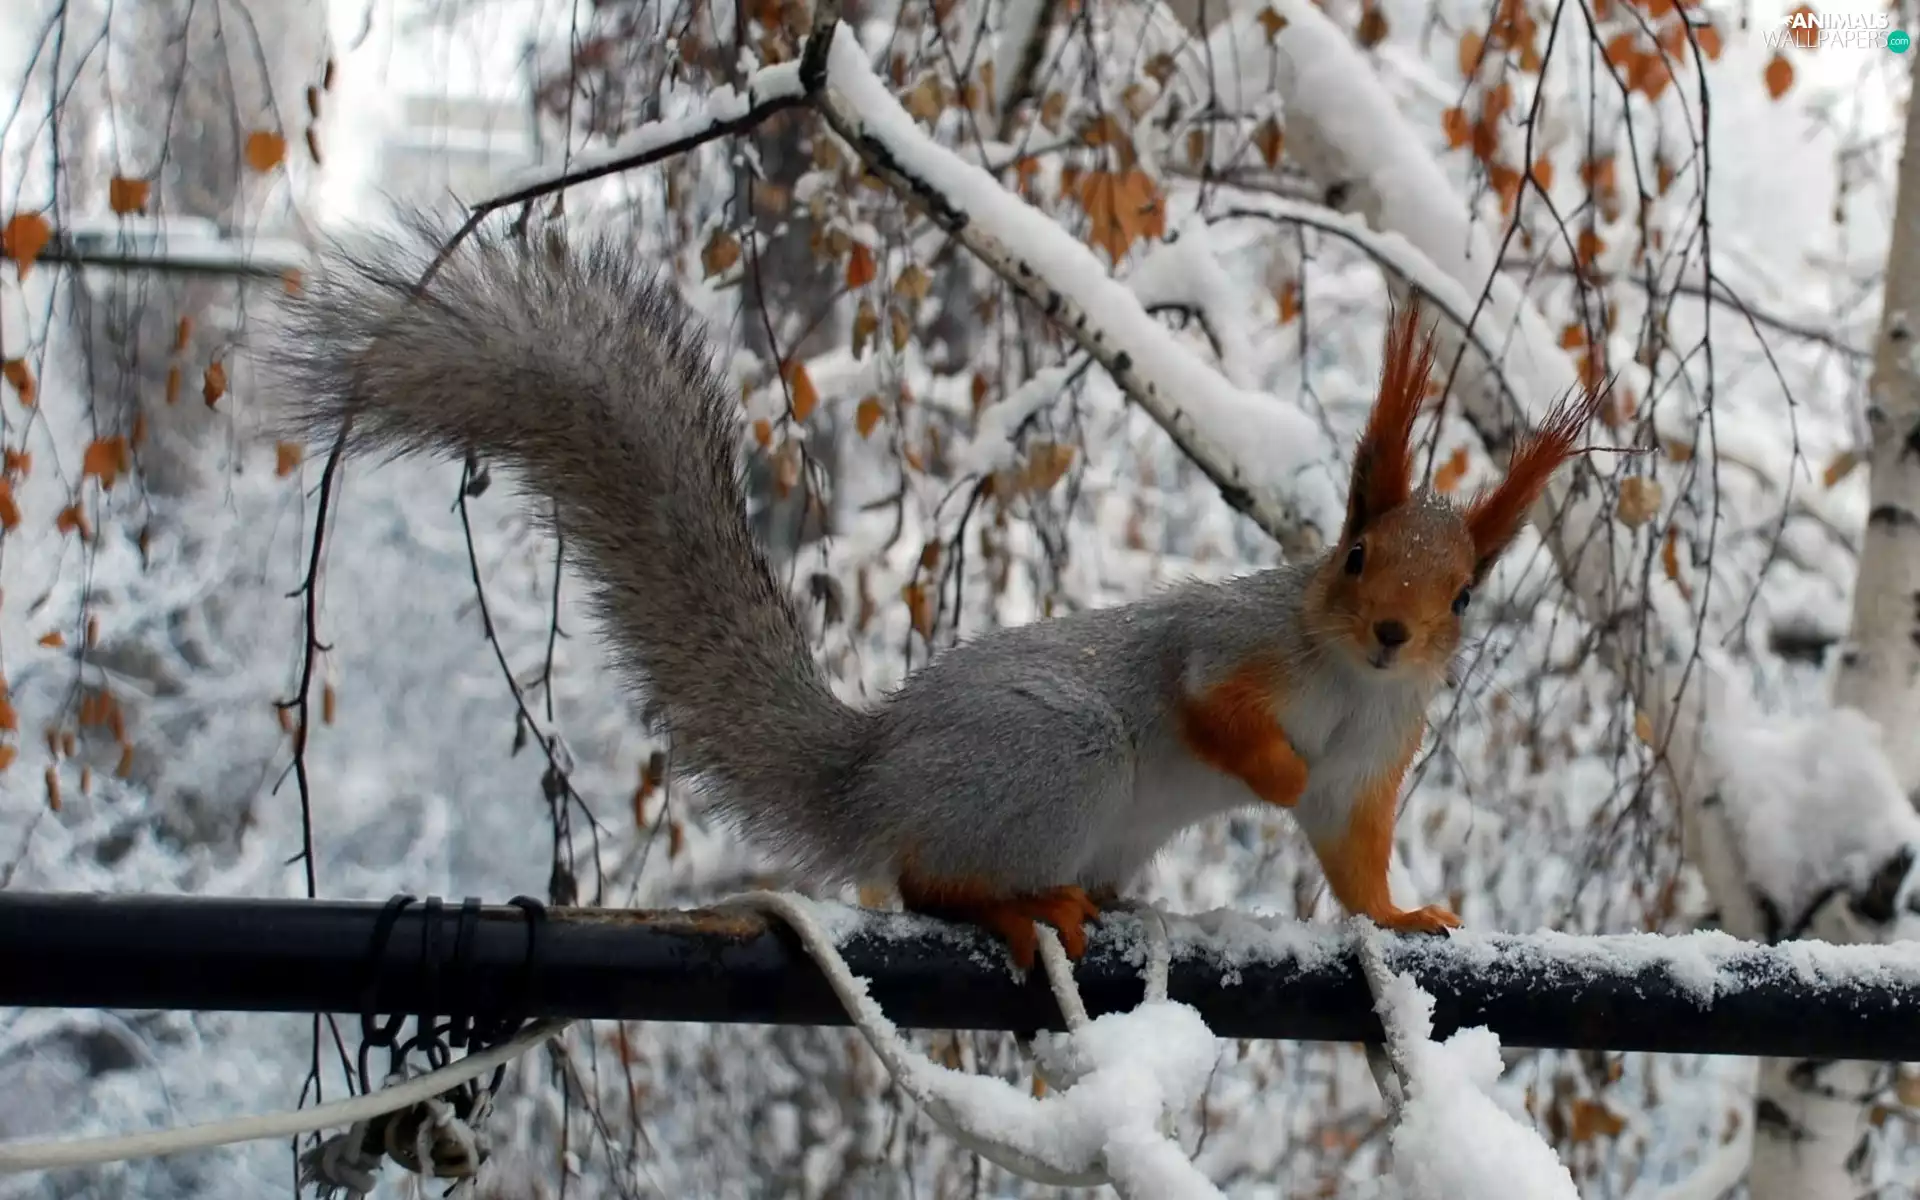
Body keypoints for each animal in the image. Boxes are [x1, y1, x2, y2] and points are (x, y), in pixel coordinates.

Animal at [268, 214, 1606, 970]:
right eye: (1355, 556)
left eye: (1466, 598)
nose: (1389, 634)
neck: (1341, 679)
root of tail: (875, 771)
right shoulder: (1231, 641)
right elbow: (1210, 706)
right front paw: (1265, 770)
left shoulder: (1375, 752)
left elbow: (1350, 851)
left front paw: (1401, 919)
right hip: (1059, 759)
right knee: (926, 880)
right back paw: (1015, 909)